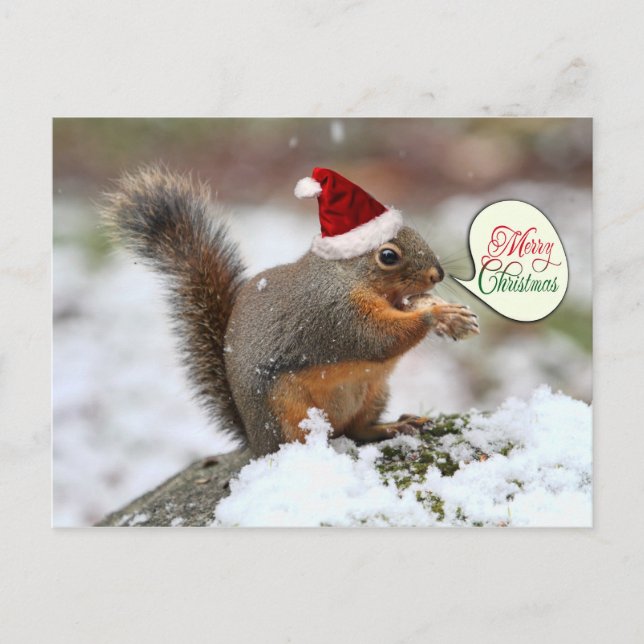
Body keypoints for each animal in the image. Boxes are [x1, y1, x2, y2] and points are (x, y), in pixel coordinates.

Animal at [102, 166, 479, 457]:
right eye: (388, 255)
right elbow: (376, 339)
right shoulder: (335, 313)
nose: (437, 274)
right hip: (288, 411)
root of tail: (256, 444)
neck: (347, 275)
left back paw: (394, 427)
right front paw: (437, 315)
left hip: (373, 392)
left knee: (357, 430)